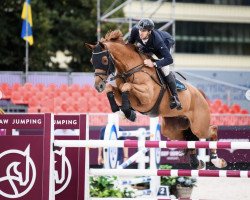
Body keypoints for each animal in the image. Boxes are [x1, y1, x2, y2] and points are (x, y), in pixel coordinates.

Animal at [85, 29, 227, 169]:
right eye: (91, 61)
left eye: (104, 60)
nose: (98, 86)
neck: (131, 69)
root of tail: (201, 94)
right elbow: (111, 88)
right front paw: (123, 111)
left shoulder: (147, 97)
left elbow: (127, 86)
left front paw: (128, 113)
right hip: (172, 128)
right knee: (189, 139)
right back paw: (196, 163)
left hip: (199, 126)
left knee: (212, 129)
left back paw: (217, 161)